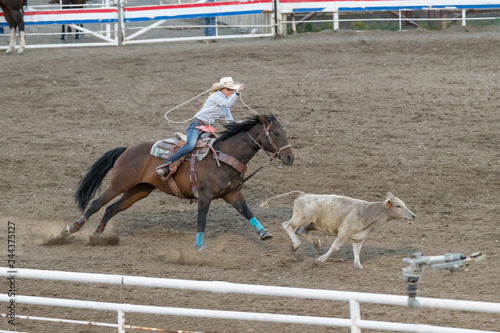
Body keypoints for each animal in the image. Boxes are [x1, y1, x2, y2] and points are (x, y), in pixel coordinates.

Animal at [59, 113, 292, 248]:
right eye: (276, 133)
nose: (290, 158)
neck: (223, 157)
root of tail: (127, 150)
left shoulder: (233, 194)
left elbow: (248, 212)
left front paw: (265, 233)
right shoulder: (204, 196)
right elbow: (201, 220)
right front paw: (198, 247)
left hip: (138, 190)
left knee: (110, 209)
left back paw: (98, 237)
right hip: (119, 184)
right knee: (96, 205)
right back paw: (69, 230)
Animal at [262, 192, 414, 268]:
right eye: (398, 206)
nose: (413, 215)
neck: (368, 212)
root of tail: (302, 195)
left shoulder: (358, 238)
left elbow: (357, 252)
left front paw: (359, 266)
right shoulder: (344, 232)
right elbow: (335, 247)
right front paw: (319, 261)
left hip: (312, 223)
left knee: (301, 231)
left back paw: (316, 243)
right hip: (301, 218)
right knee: (287, 225)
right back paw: (296, 245)